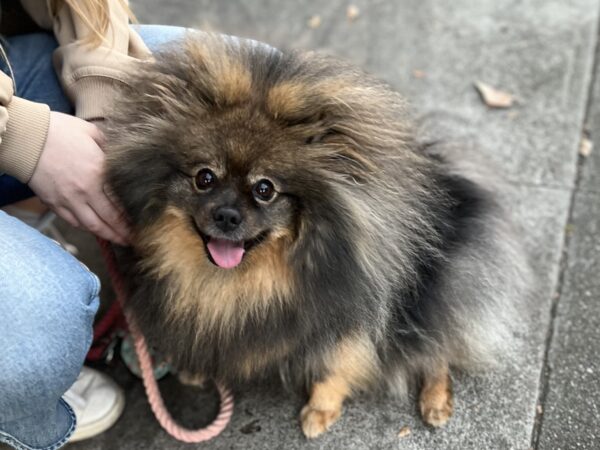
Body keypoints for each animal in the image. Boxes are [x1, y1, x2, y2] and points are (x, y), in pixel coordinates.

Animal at [103, 34, 528, 436]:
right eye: (204, 178)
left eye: (265, 189)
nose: (226, 215)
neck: (237, 282)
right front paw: (196, 368)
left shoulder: (341, 317)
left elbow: (333, 366)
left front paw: (320, 409)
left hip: (424, 297)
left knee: (436, 349)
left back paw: (436, 401)